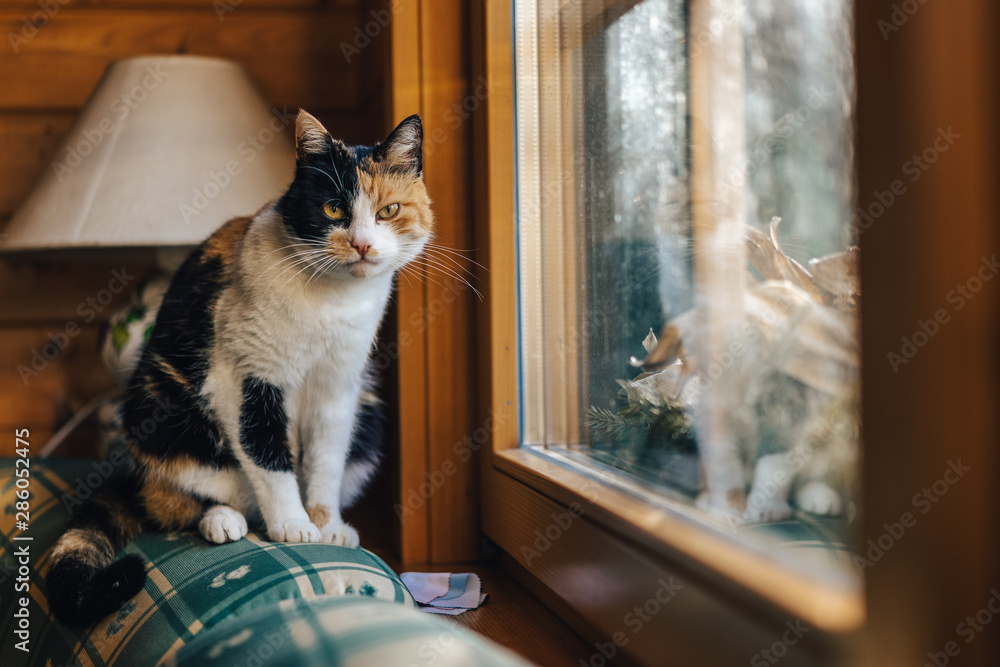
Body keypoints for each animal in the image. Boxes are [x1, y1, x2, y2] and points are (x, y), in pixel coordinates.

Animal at [45, 109, 432, 628]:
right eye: (333, 210)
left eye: (389, 211)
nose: (363, 246)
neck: (330, 301)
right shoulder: (246, 377)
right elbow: (267, 455)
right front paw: (293, 525)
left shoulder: (340, 387)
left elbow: (326, 461)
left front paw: (326, 524)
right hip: (159, 408)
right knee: (188, 497)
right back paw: (224, 520)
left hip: (367, 419)